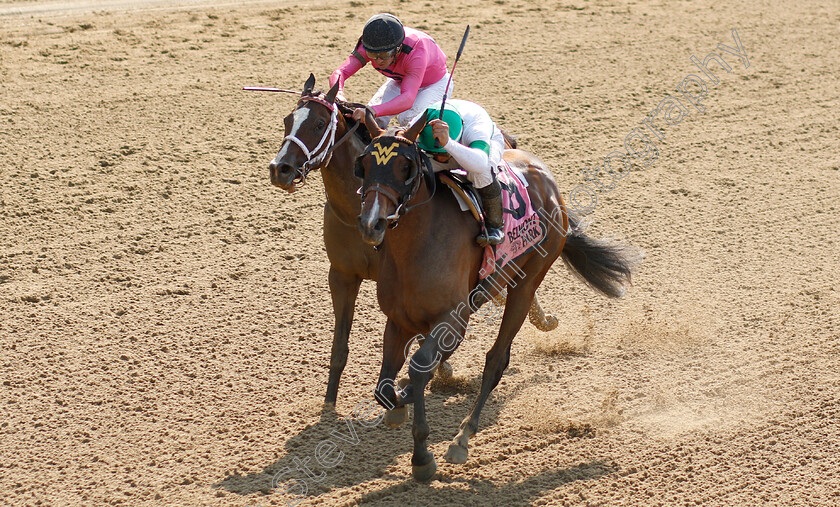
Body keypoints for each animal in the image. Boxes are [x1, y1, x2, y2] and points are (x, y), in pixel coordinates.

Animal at [268, 74, 556, 412]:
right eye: (288, 120)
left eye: (319, 123)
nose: (280, 169)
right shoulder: (342, 274)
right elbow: (340, 344)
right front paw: (329, 402)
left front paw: (433, 373)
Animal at [354, 113, 636, 482]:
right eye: (364, 164)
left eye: (405, 167)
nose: (371, 223)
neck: (417, 246)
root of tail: (548, 181)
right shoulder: (399, 320)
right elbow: (385, 389)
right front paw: (401, 401)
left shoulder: (451, 318)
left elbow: (418, 367)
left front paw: (422, 457)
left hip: (527, 280)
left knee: (497, 358)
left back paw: (463, 437)